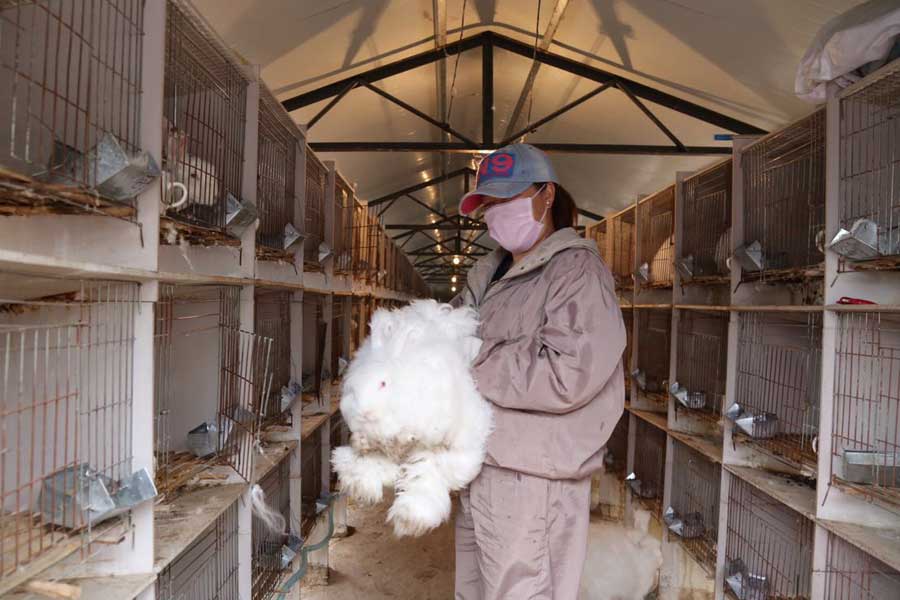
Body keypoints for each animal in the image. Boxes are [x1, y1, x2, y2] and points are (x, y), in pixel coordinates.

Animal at [334, 300, 492, 540]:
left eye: (383, 384)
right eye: (352, 388)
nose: (364, 412)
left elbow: (434, 471)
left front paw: (409, 519)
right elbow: (372, 460)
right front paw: (361, 482)